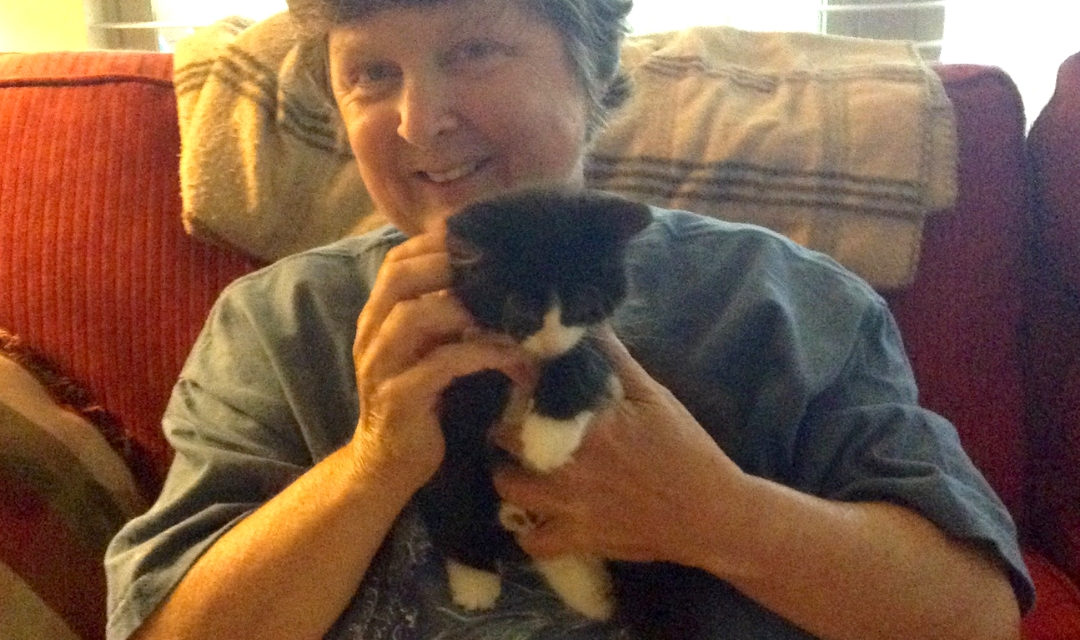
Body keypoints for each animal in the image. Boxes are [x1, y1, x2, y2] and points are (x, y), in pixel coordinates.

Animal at [410, 186, 648, 621]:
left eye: (584, 301)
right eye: (520, 308)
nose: (550, 342)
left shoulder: (604, 341)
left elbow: (585, 356)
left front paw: (547, 439)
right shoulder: (456, 363)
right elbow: (458, 456)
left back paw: (590, 590)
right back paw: (478, 576)